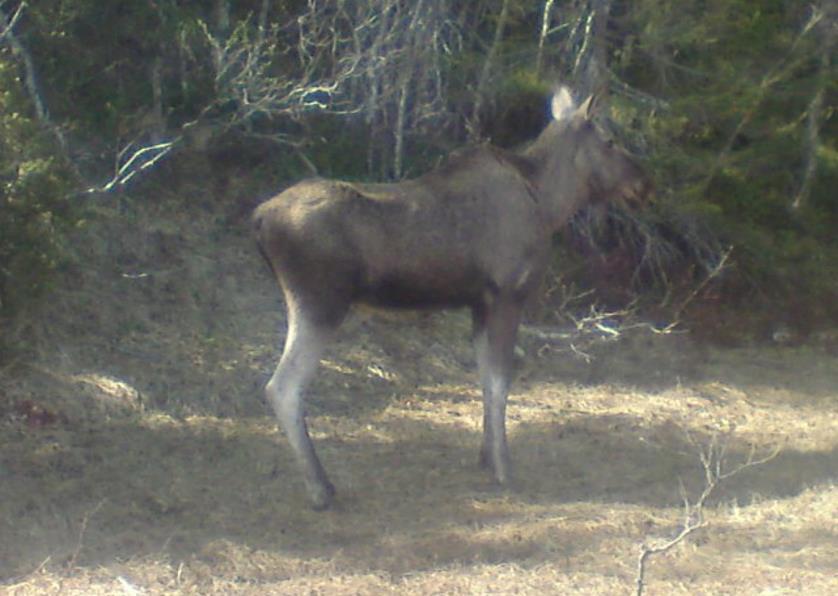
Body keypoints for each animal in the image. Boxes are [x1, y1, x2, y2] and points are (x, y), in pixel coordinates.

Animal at [253, 87, 652, 508]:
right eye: (610, 140)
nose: (645, 183)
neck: (547, 204)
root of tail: (259, 218)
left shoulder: (479, 304)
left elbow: (485, 380)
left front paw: (485, 456)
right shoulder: (507, 294)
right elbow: (500, 382)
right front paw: (503, 469)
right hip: (320, 302)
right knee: (283, 387)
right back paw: (320, 488)